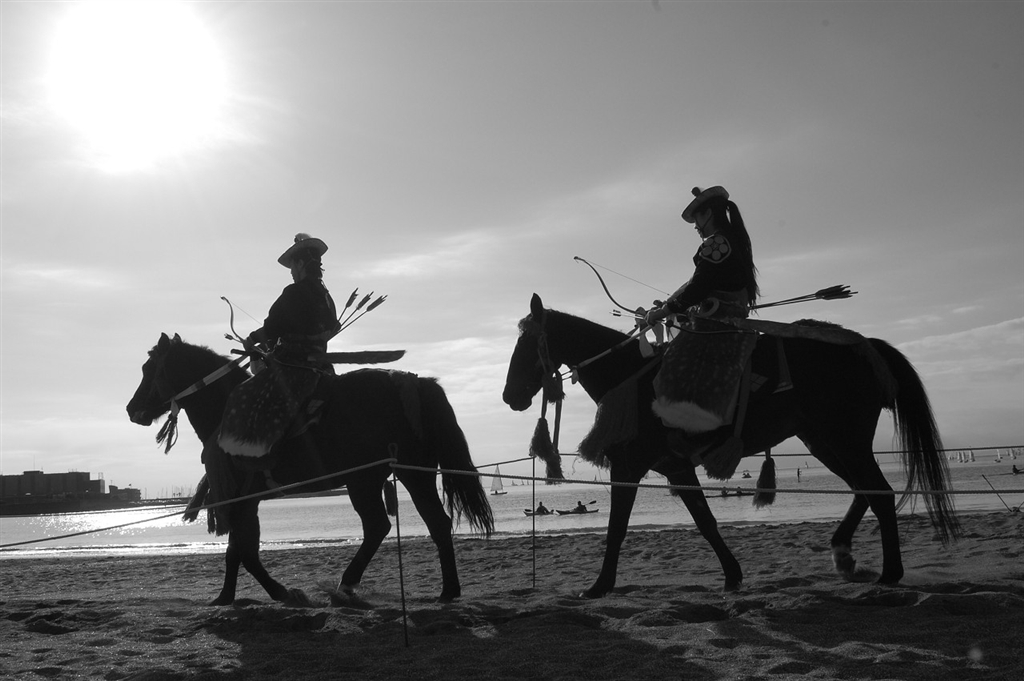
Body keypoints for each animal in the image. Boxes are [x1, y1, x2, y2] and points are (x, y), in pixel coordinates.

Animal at [127, 333, 494, 605]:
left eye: (149, 369)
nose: (132, 409)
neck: (224, 409)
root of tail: (417, 384)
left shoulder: (242, 498)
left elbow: (243, 551)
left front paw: (274, 592)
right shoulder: (246, 499)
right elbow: (240, 550)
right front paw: (234, 596)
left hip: (375, 478)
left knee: (382, 525)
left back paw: (349, 585)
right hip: (402, 473)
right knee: (432, 522)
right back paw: (448, 590)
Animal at [502, 294, 959, 598]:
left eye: (526, 345)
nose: (510, 396)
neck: (628, 375)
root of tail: (866, 346)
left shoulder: (628, 466)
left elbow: (617, 528)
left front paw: (600, 585)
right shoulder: (677, 467)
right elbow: (705, 521)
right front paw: (732, 574)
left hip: (844, 438)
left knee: (879, 493)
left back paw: (890, 571)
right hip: (824, 441)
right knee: (864, 490)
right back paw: (844, 554)